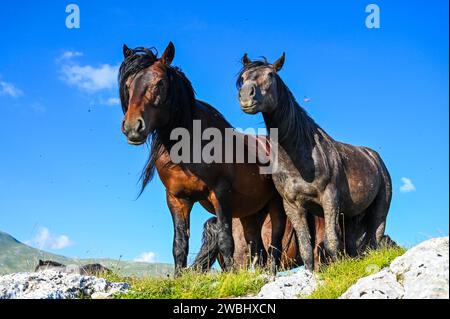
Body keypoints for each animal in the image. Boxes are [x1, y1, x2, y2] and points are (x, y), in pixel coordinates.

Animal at [118, 42, 288, 276]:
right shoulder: (177, 199)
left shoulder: (220, 195)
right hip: (251, 214)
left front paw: (230, 277)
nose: (133, 127)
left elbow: (226, 240)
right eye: (128, 85)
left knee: (275, 244)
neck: (191, 146)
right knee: (257, 247)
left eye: (159, 83)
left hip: (276, 205)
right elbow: (179, 244)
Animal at [237, 53, 392, 270]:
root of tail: (373, 157)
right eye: (243, 78)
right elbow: (306, 248)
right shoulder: (293, 206)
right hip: (351, 215)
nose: (245, 95)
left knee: (374, 238)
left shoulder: (330, 199)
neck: (300, 159)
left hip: (379, 210)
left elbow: (331, 242)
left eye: (270, 75)